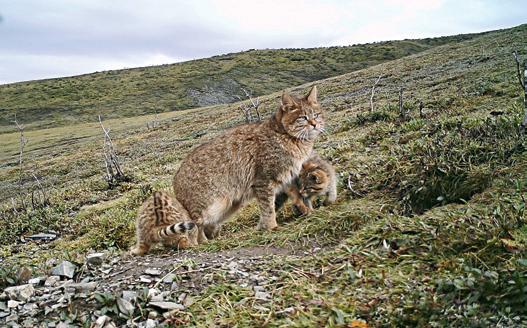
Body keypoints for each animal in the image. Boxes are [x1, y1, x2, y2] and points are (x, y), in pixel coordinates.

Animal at [173, 86, 324, 242]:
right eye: (303, 117)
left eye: (316, 115)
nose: (314, 124)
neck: (286, 136)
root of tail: (175, 179)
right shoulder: (263, 180)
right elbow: (268, 208)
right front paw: (271, 227)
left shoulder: (286, 177)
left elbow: (296, 196)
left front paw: (307, 211)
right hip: (211, 207)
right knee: (195, 225)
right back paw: (202, 242)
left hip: (228, 206)